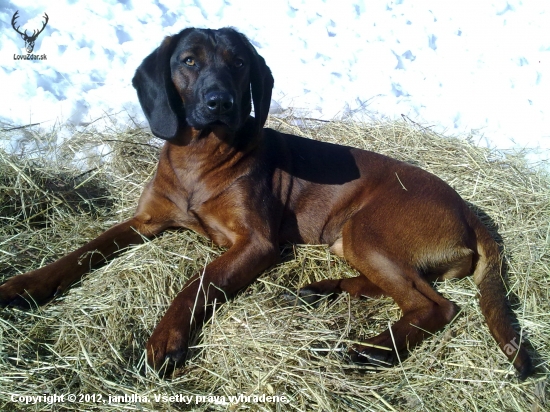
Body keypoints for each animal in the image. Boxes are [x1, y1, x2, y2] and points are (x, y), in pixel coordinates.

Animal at [0, 27, 536, 378]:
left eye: (238, 63)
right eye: (188, 61)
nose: (219, 102)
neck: (200, 156)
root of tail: (468, 209)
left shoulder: (254, 242)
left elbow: (198, 282)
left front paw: (166, 338)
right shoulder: (144, 220)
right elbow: (81, 252)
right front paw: (25, 285)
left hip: (365, 229)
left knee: (436, 306)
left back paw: (373, 350)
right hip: (349, 239)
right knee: (399, 289)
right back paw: (321, 291)